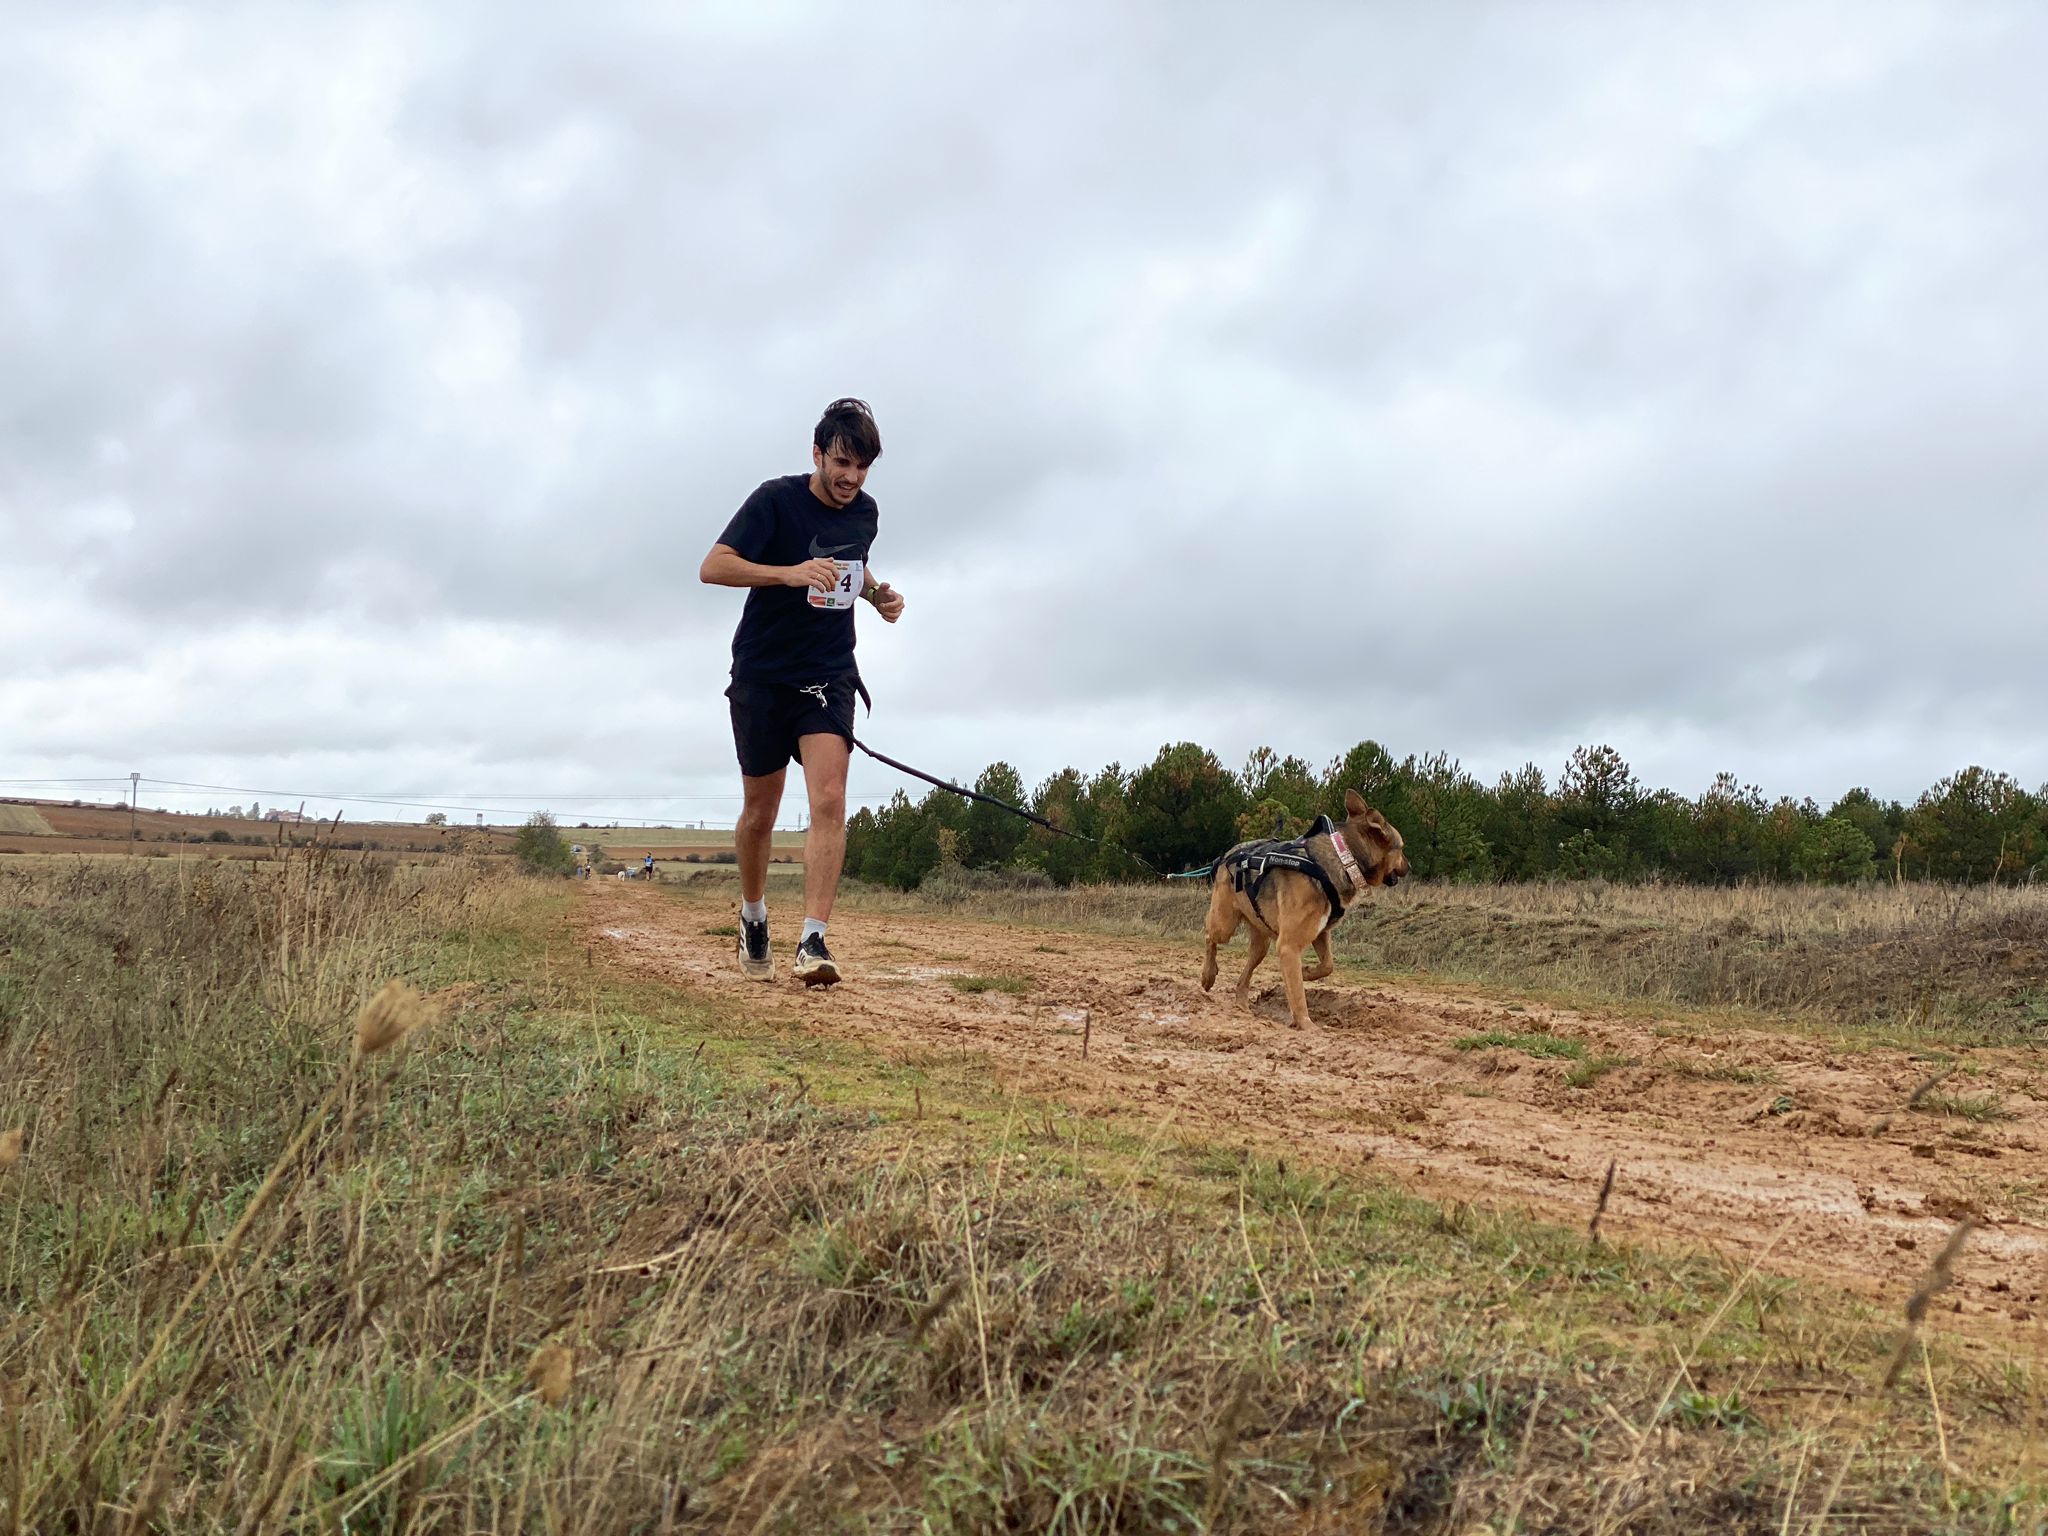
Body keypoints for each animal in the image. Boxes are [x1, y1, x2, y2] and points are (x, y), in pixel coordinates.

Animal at [1196, 794, 1409, 1036]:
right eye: (1402, 848)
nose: (1409, 866)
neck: (1344, 858)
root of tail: (1231, 853)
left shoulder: (1319, 933)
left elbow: (1327, 965)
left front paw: (1306, 972)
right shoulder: (1288, 946)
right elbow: (1297, 994)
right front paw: (1307, 1024)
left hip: (1261, 942)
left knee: (1245, 974)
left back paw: (1241, 1005)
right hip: (1225, 924)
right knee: (1209, 936)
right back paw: (1208, 975)